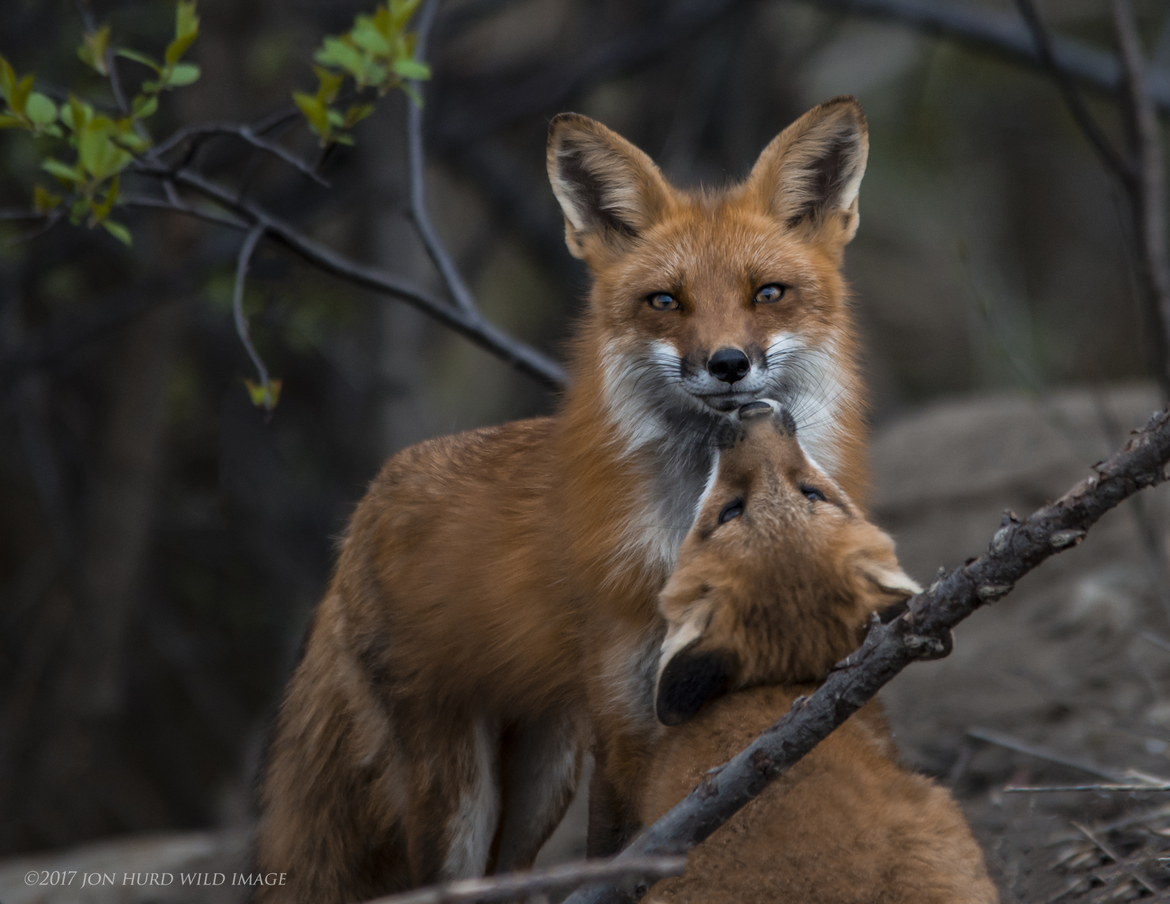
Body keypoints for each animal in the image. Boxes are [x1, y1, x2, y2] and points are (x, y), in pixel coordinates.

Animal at [255, 96, 872, 903]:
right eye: (665, 301)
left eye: (767, 293)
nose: (728, 363)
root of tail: (364, 509)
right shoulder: (628, 719)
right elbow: (624, 850)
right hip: (461, 788)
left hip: (544, 772)